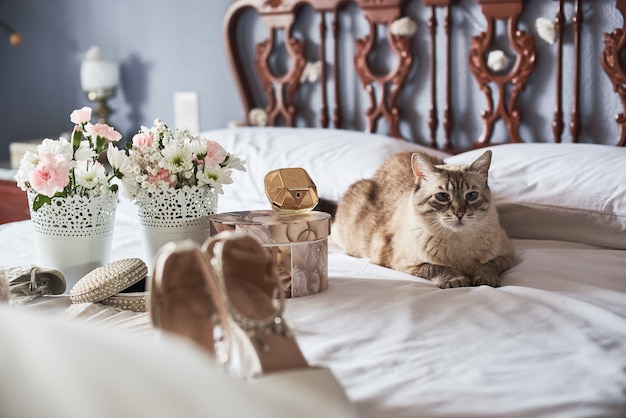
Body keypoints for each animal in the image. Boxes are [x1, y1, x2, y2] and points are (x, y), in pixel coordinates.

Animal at [332, 149, 512, 290]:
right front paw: (457, 280)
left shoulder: (506, 257)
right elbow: (438, 267)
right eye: (442, 196)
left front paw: (484, 280)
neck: (457, 240)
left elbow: (488, 267)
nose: (459, 213)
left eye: (472, 196)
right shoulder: (406, 265)